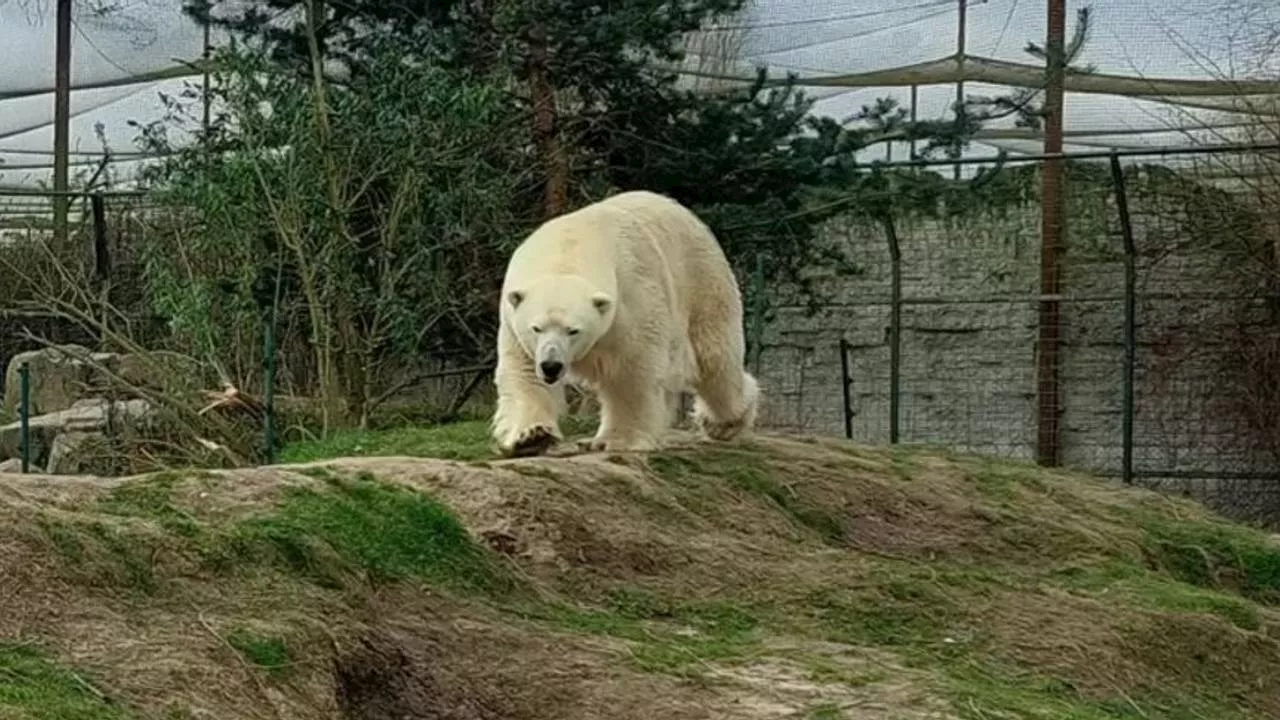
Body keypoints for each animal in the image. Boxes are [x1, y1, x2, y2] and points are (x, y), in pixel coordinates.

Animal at [488, 189, 757, 453]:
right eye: (536, 328)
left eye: (573, 330)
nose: (551, 365)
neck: (570, 248)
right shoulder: (514, 323)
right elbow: (525, 373)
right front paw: (532, 436)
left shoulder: (632, 299)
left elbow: (632, 370)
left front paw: (616, 440)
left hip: (702, 284)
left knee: (715, 361)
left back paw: (724, 423)